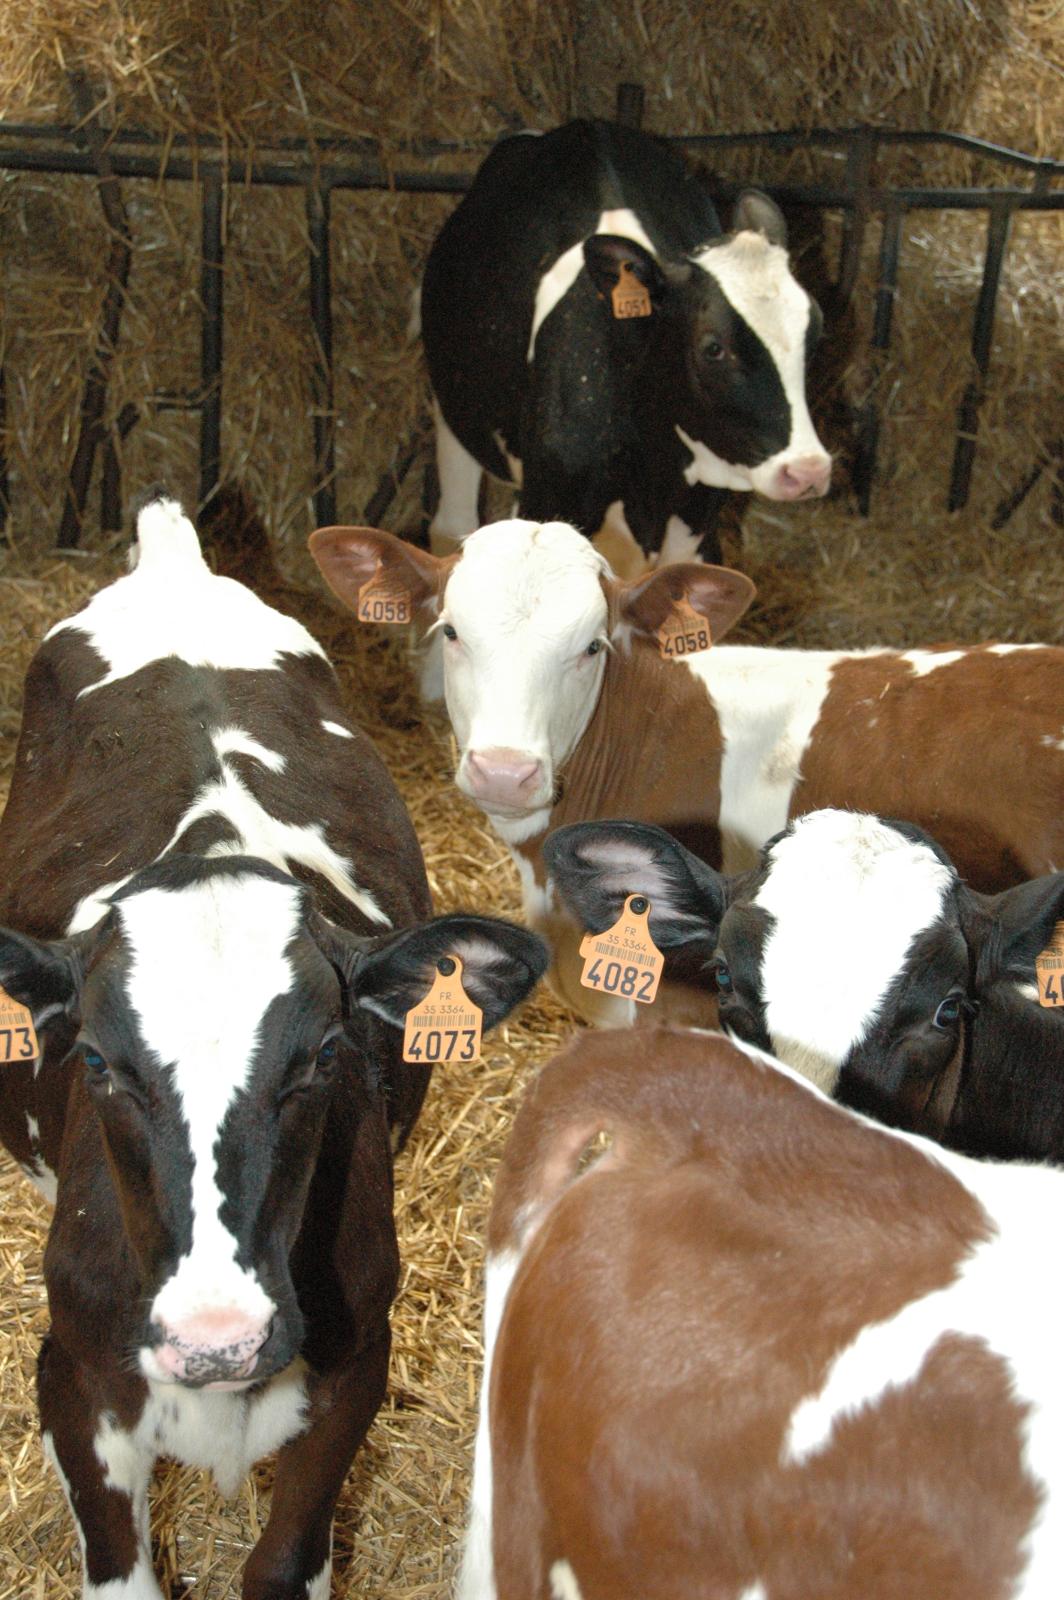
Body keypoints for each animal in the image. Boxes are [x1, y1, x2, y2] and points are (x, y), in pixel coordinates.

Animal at [0, 497, 548, 1600]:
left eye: (324, 1057)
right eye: (99, 1064)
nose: (218, 1339)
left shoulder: (357, 1361)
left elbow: (284, 1563)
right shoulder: (74, 1372)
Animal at [419, 118, 831, 568]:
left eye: (816, 329)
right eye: (713, 348)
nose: (808, 471)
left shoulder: (696, 526)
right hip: (452, 407)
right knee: (450, 523)